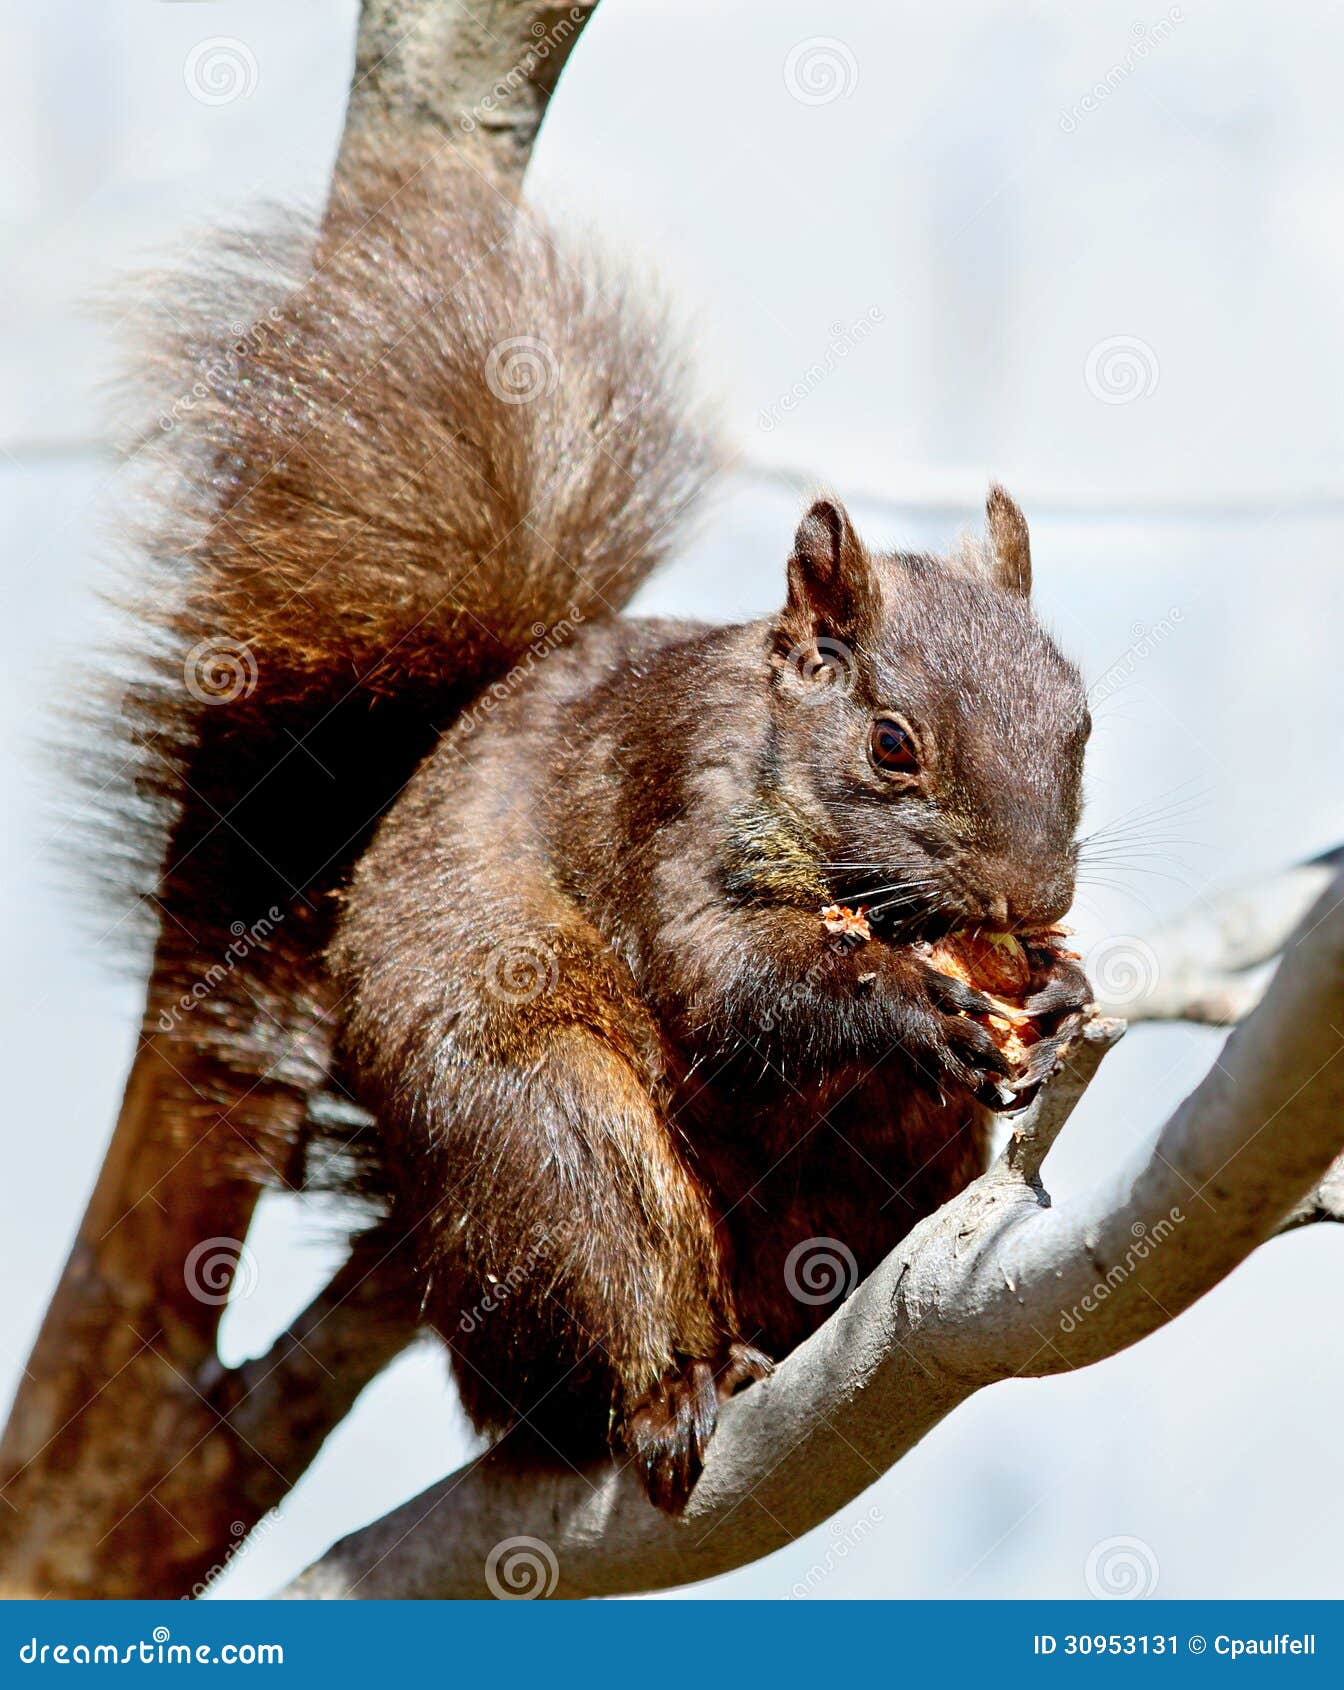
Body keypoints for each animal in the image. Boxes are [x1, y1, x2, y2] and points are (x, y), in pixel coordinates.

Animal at [81, 141, 1093, 1513]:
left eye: (1081, 718)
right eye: (892, 743)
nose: (1029, 903)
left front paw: (1060, 985)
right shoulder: (665, 807)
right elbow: (721, 981)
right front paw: (905, 1003)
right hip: (546, 1140)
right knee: (605, 1261)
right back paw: (678, 1387)